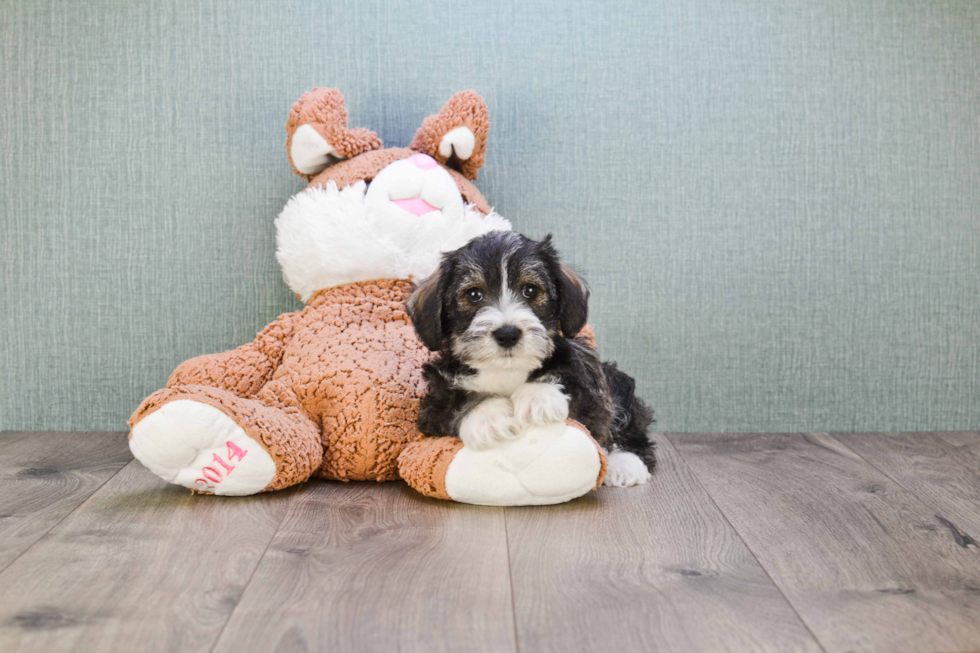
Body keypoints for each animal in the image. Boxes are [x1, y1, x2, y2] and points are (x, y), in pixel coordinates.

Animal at [406, 232, 660, 486]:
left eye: (530, 290)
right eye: (473, 294)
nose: (507, 333)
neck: (506, 371)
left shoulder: (589, 384)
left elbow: (566, 377)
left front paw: (539, 398)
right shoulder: (433, 406)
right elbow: (458, 399)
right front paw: (490, 419)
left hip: (618, 383)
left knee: (631, 429)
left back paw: (625, 465)